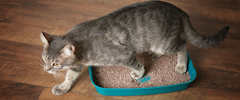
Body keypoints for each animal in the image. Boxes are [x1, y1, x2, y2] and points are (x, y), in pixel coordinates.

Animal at [39, 1, 229, 95]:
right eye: (45, 59)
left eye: (56, 64)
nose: (46, 69)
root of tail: (178, 9)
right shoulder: (77, 64)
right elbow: (69, 76)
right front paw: (63, 88)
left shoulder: (123, 54)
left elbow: (137, 65)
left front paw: (138, 74)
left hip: (166, 43)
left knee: (183, 45)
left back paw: (181, 65)